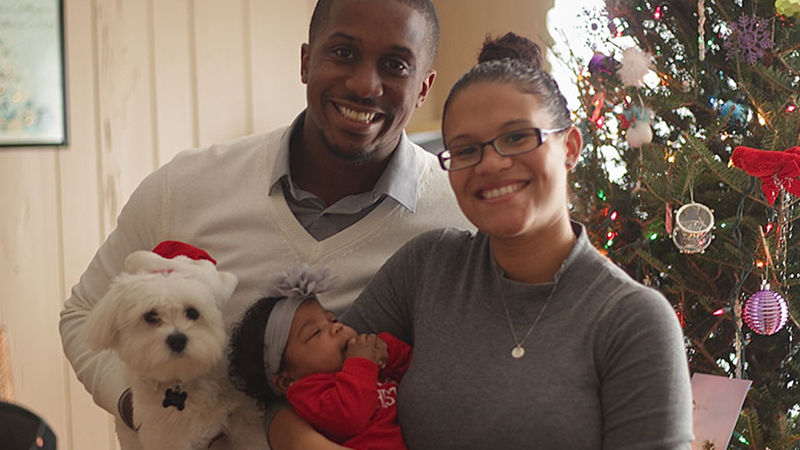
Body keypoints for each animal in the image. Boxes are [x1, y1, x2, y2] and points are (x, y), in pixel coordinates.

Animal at [85, 243, 266, 450]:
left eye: (193, 312)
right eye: (151, 316)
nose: (178, 340)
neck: (179, 380)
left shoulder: (240, 417)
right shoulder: (167, 436)